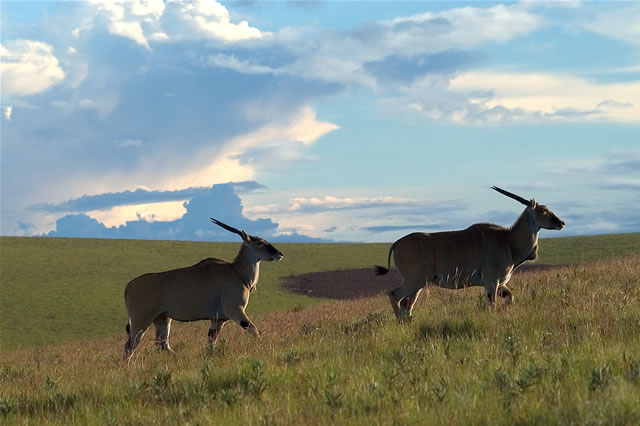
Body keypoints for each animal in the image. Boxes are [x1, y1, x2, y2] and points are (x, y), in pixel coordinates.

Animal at [124, 218, 284, 362]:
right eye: (259, 242)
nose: (280, 254)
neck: (237, 272)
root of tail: (128, 287)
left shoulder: (217, 319)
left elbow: (210, 343)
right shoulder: (236, 312)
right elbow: (254, 330)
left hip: (163, 319)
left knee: (162, 344)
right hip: (141, 321)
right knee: (130, 345)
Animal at [376, 185, 564, 322]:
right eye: (542, 210)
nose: (561, 222)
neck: (508, 240)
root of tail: (397, 243)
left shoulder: (499, 284)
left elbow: (510, 297)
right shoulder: (491, 282)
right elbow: (493, 305)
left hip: (418, 285)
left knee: (406, 305)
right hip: (414, 281)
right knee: (395, 296)